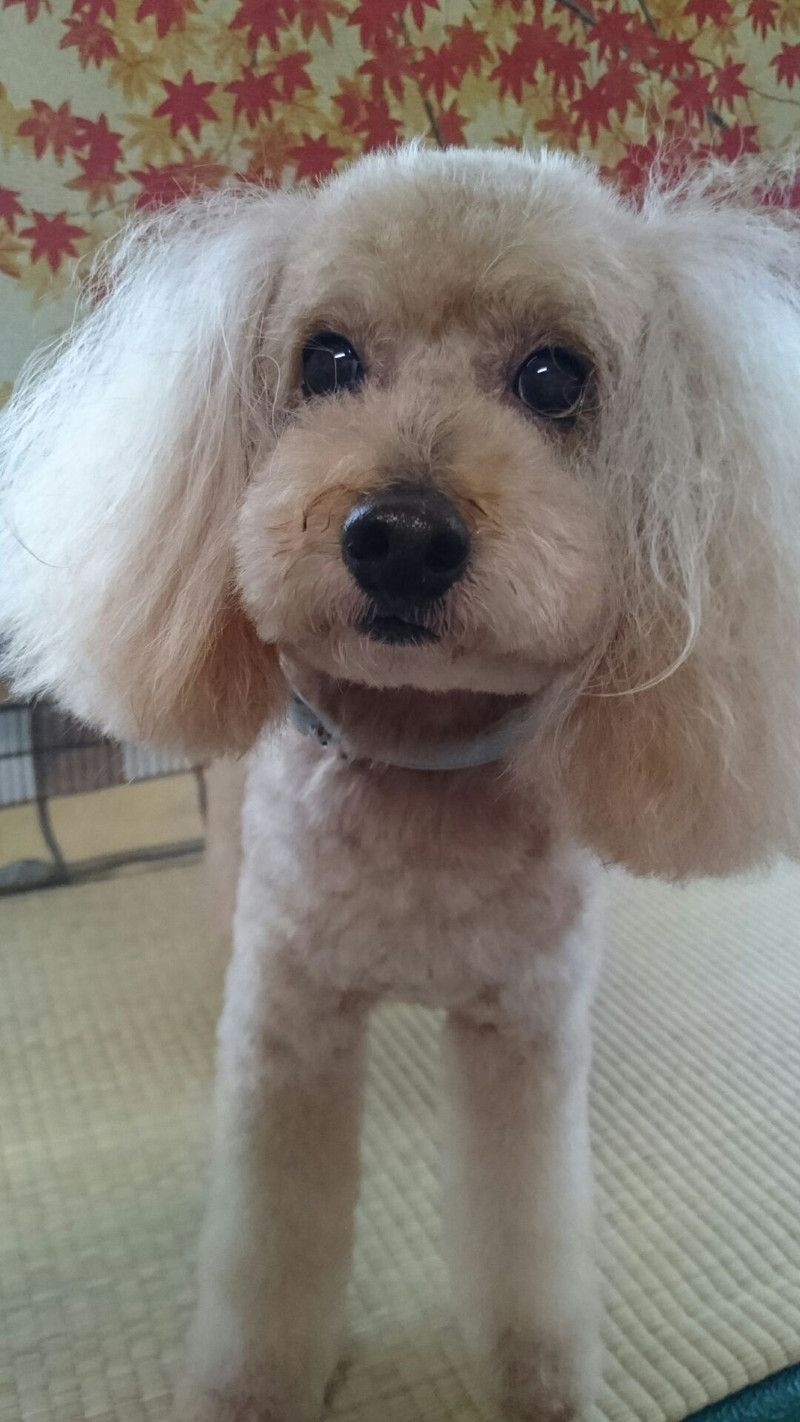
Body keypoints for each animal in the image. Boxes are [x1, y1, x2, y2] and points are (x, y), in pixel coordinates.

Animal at [2, 145, 800, 1422]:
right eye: (325, 358)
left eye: (554, 375)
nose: (400, 535)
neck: (417, 756)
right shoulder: (291, 1026)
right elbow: (270, 1251)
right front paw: (251, 1390)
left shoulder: (521, 1030)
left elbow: (525, 1241)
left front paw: (538, 1387)